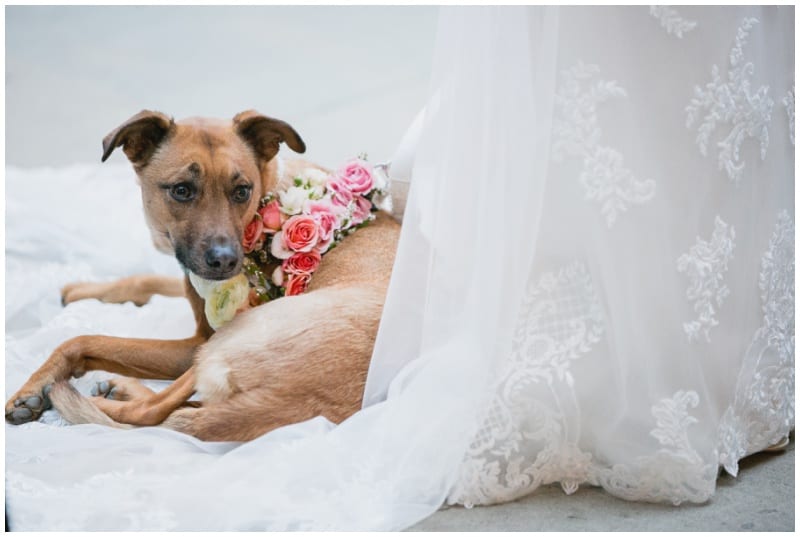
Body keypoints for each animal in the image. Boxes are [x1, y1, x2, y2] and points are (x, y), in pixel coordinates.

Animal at [5, 109, 400, 440]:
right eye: (182, 190)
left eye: (242, 191)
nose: (226, 262)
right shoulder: (191, 285)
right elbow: (147, 280)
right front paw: (82, 289)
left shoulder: (198, 338)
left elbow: (81, 340)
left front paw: (31, 389)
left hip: (221, 341)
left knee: (151, 414)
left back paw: (100, 401)